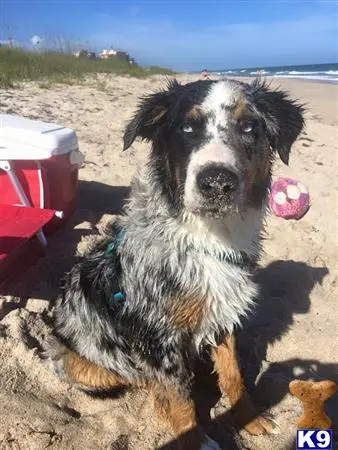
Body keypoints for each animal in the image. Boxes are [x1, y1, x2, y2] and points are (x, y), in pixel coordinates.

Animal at [44, 78, 304, 450]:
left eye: (249, 127)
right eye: (186, 128)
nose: (217, 182)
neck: (207, 238)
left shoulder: (223, 314)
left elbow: (234, 376)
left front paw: (248, 418)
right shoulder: (159, 338)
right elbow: (180, 401)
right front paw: (194, 438)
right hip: (82, 364)